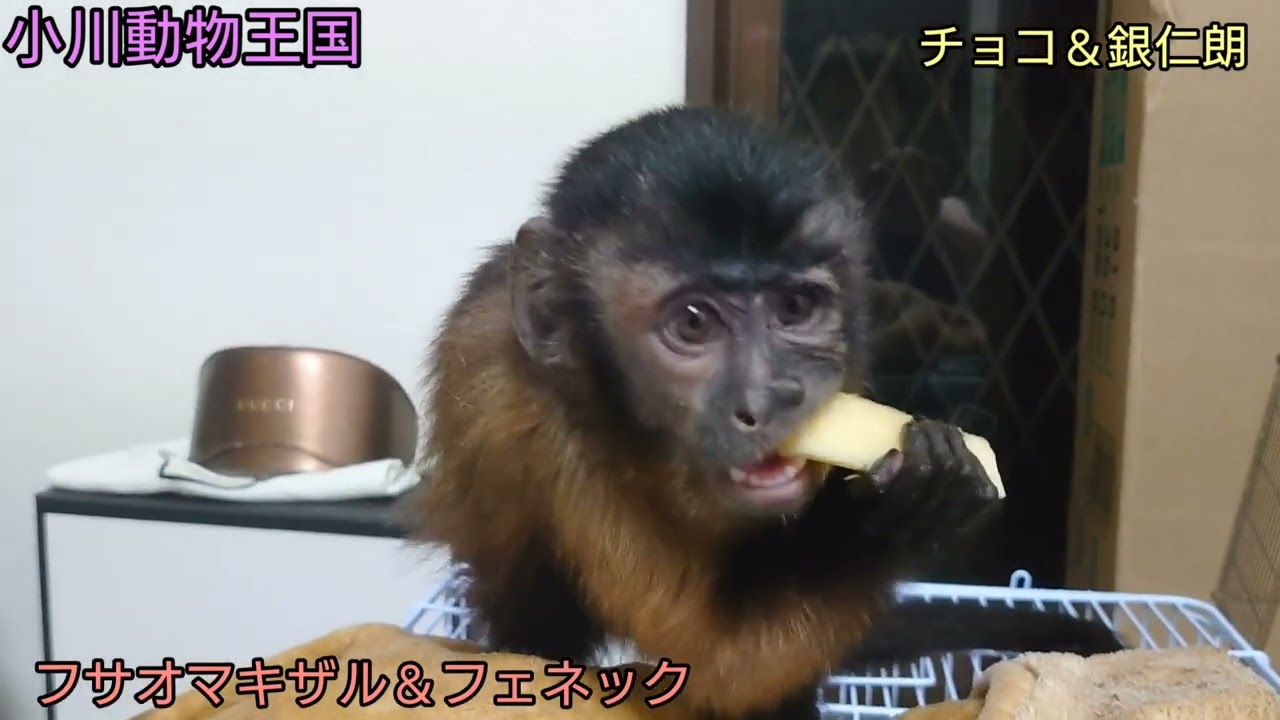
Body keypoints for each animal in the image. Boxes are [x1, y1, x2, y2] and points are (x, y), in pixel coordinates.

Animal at [401, 106, 1122, 720]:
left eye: (796, 308)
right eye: (693, 323)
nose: (771, 395)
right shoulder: (530, 425)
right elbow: (717, 658)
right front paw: (891, 515)